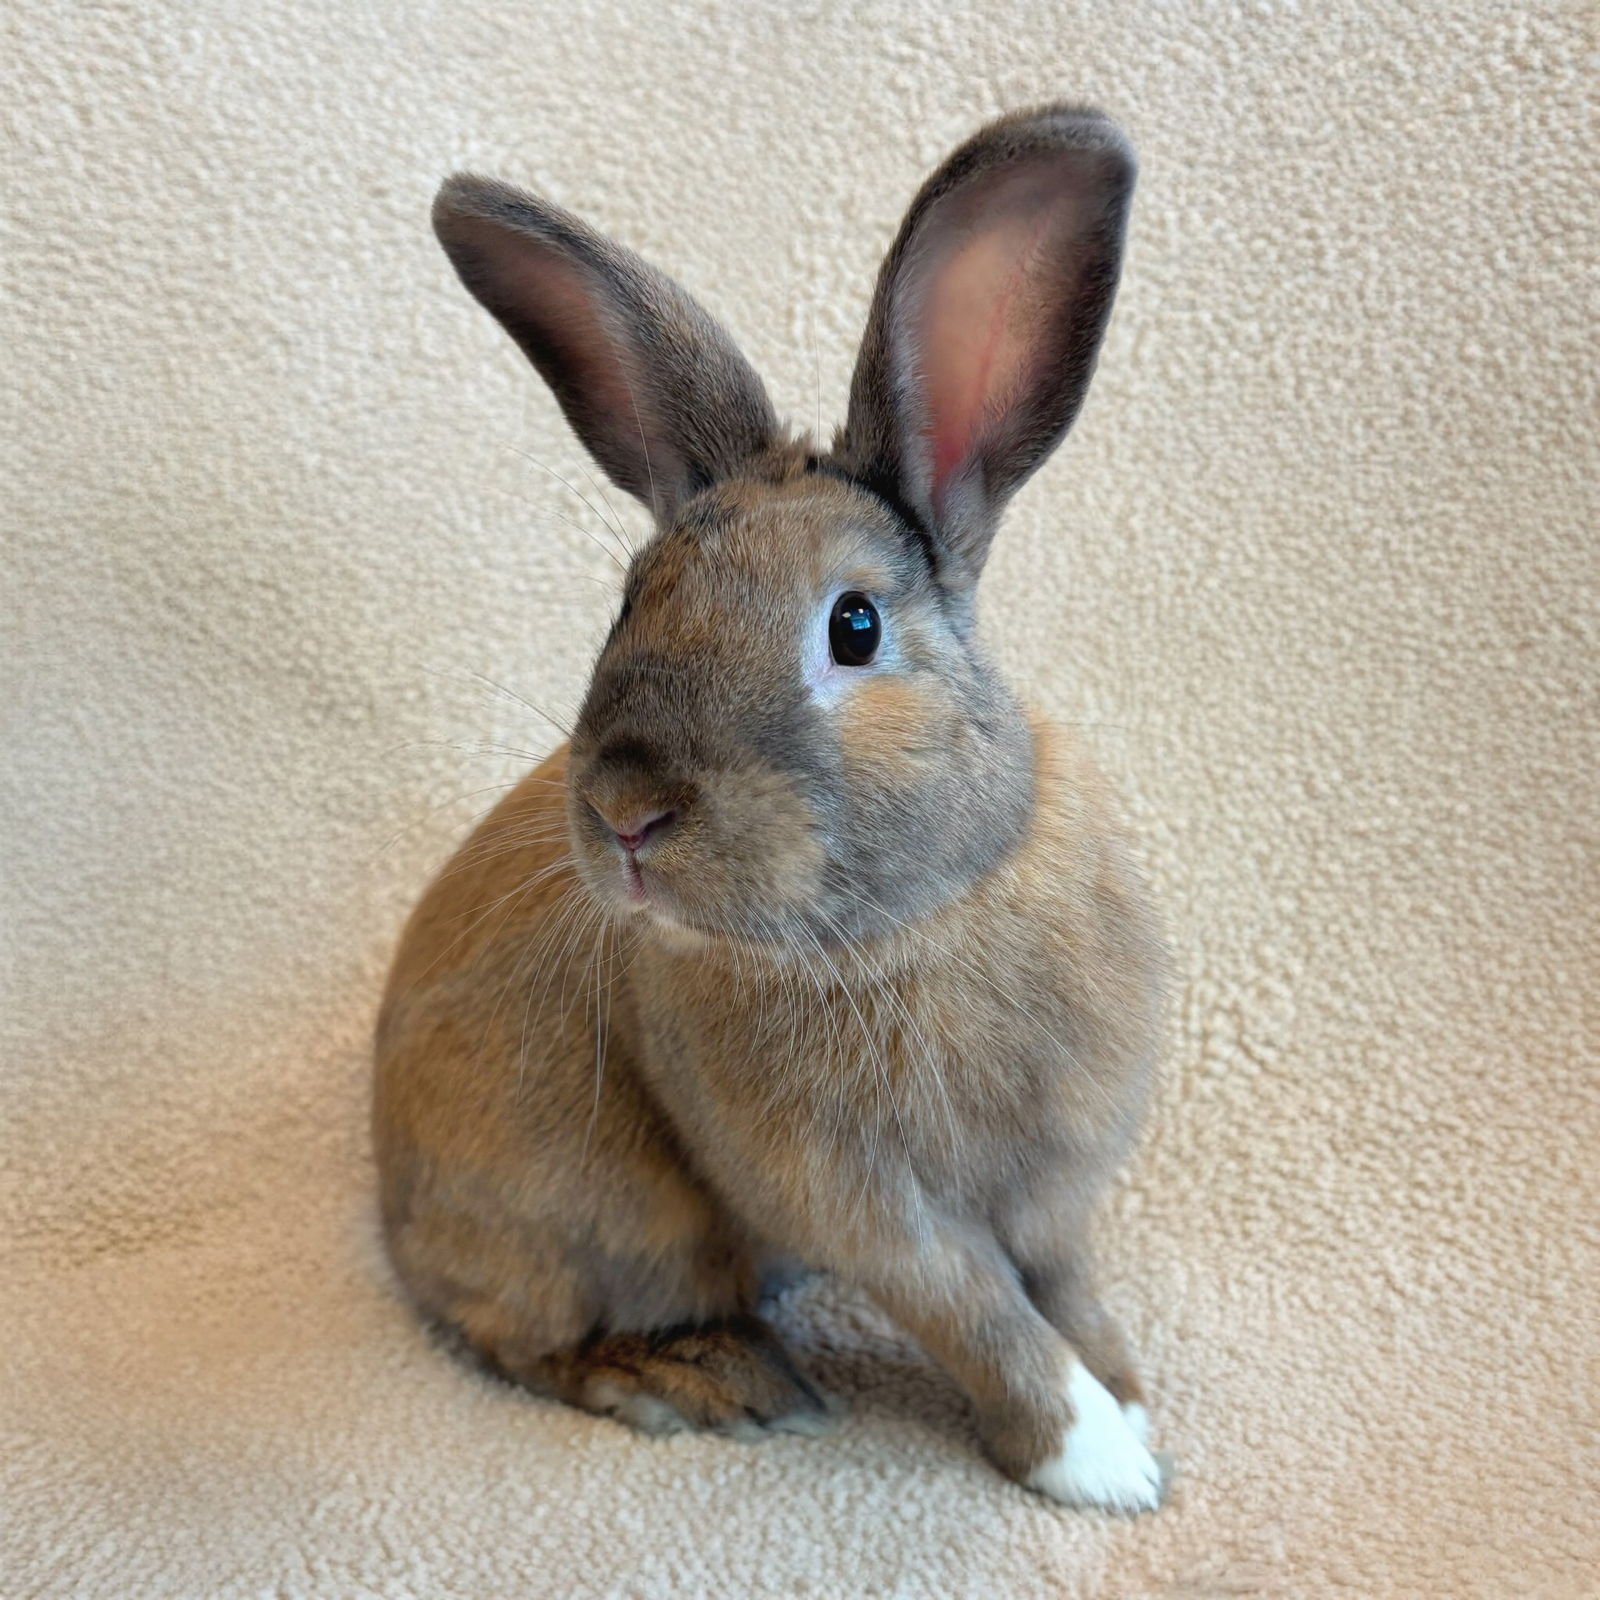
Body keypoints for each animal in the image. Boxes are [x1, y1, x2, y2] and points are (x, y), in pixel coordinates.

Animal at [374, 104, 1169, 1513]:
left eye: (853, 627)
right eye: (629, 600)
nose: (628, 813)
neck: (923, 921)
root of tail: (384, 1205)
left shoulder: (1054, 1185)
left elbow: (1065, 1291)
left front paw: (1129, 1405)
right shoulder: (866, 1208)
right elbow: (985, 1317)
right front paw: (1100, 1465)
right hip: (611, 1219)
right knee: (523, 1340)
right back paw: (705, 1378)